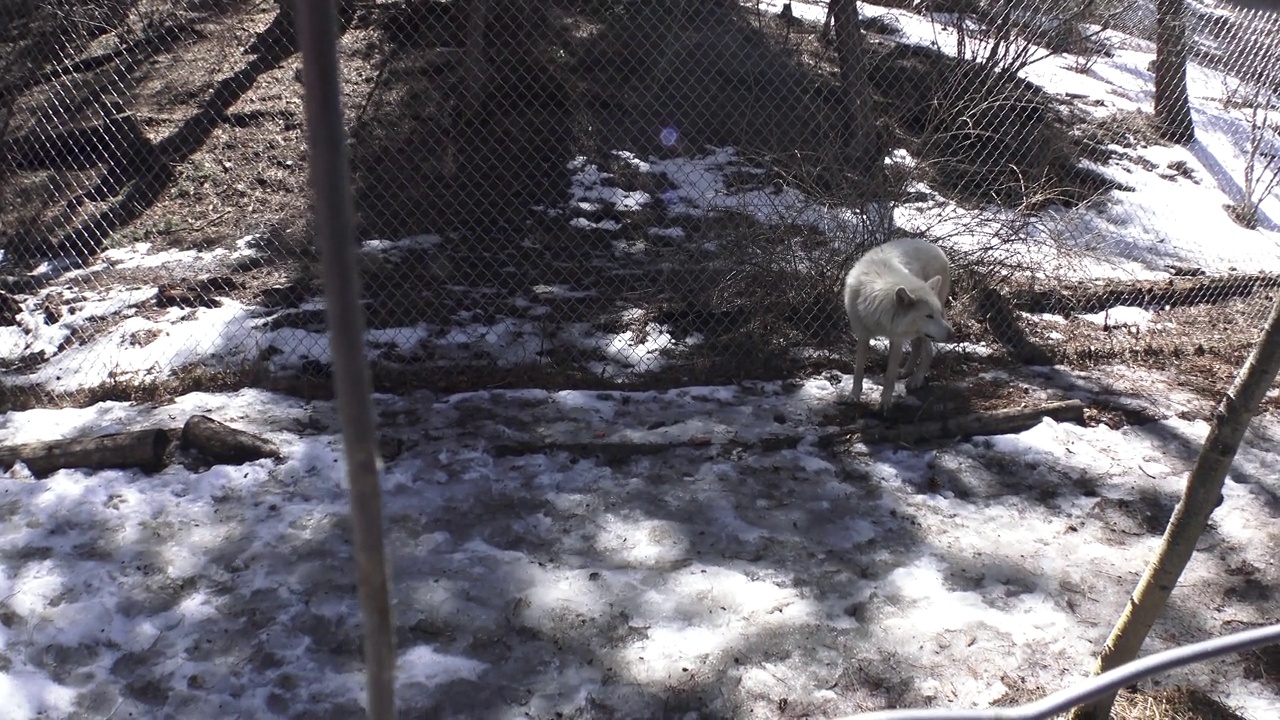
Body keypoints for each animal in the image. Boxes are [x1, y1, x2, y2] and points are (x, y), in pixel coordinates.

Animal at [844, 237, 957, 409]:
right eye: (929, 316)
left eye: (936, 314)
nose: (952, 334)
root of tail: (936, 247)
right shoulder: (863, 335)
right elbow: (858, 371)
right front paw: (854, 396)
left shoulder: (896, 340)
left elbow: (889, 376)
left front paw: (885, 403)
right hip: (918, 332)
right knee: (917, 347)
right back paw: (906, 371)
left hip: (923, 332)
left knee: (928, 352)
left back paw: (916, 379)